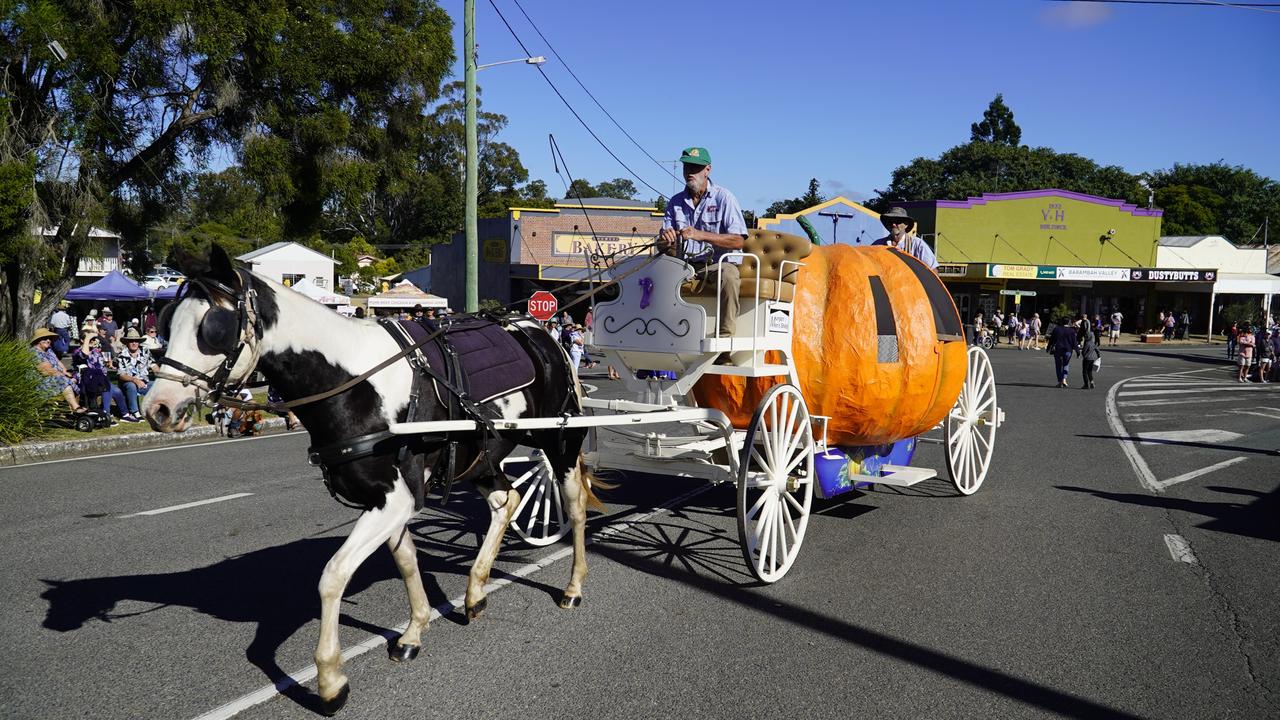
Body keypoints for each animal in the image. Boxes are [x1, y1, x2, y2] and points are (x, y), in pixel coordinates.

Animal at [144, 245, 593, 712]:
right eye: (167, 322)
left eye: (212, 328)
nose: (157, 407)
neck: (352, 382)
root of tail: (538, 331)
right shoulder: (388, 499)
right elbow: (406, 559)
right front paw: (414, 630)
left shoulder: (396, 499)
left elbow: (332, 576)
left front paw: (330, 679)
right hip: (482, 453)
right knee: (507, 501)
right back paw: (475, 591)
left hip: (558, 439)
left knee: (575, 505)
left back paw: (573, 585)